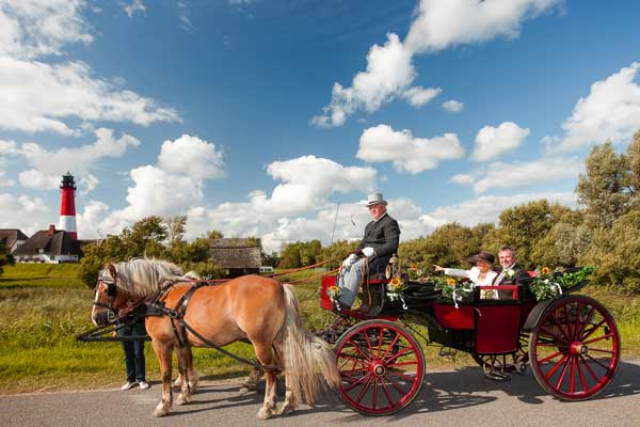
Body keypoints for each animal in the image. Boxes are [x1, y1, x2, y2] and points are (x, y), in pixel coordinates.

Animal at [91, 260, 340, 420]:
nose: (96, 317)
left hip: (260, 341)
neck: (162, 298)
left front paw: (164, 405)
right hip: (277, 340)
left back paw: (266, 408)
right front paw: (185, 395)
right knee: (287, 366)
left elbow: (166, 374)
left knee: (271, 371)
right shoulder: (181, 342)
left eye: (107, 289)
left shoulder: (161, 344)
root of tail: (281, 285)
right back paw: (288, 403)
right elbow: (184, 367)